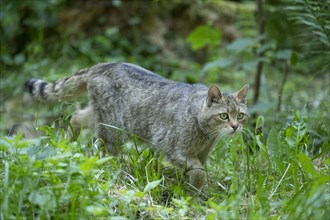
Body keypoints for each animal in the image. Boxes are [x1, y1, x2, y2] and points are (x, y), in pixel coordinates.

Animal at [25, 62, 248, 189]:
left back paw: (66, 145)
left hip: (99, 115)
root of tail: (103, 65)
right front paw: (195, 192)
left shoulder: (201, 155)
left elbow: (198, 171)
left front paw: (194, 190)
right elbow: (199, 171)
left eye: (241, 115)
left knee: (75, 117)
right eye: (224, 116)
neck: (205, 134)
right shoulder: (173, 148)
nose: (235, 126)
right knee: (104, 149)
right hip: (112, 128)